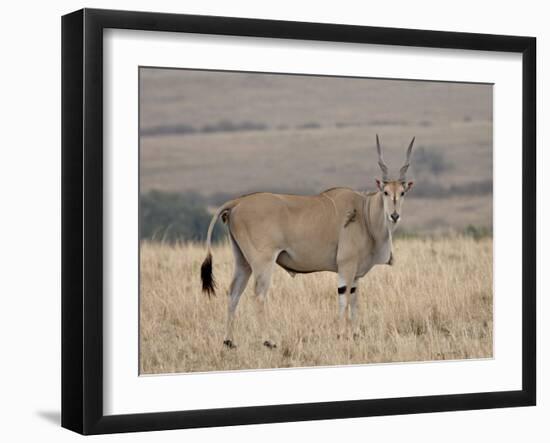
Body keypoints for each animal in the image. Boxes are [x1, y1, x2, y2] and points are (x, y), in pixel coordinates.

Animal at [201, 135, 416, 350]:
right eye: (385, 192)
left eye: (403, 192)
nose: (394, 216)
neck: (364, 213)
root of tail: (237, 202)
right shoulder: (346, 267)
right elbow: (344, 299)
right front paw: (341, 335)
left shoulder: (355, 274)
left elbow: (354, 301)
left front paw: (356, 335)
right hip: (263, 262)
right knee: (259, 295)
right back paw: (268, 340)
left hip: (242, 262)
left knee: (233, 293)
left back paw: (229, 341)